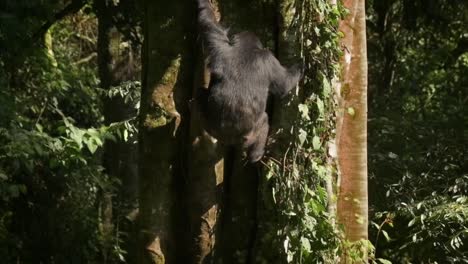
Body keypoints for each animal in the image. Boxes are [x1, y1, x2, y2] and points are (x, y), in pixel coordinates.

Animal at [195, 0, 302, 163]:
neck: (245, 49)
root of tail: (228, 138)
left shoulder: (220, 45)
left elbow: (208, 22)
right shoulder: (268, 58)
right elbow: (285, 84)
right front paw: (302, 65)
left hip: (213, 127)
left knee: (199, 94)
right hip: (249, 135)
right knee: (264, 121)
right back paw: (256, 155)